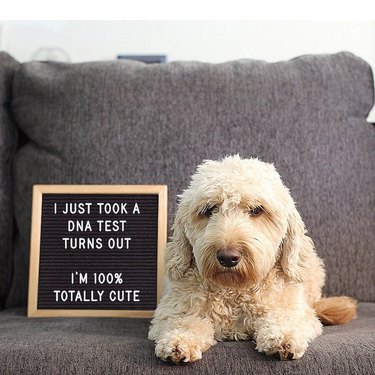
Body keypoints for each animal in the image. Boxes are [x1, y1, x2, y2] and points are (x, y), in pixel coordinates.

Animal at [148, 154, 356, 362]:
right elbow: (184, 322)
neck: (234, 291)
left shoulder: (295, 311)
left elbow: (283, 318)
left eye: (257, 210)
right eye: (209, 210)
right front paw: (179, 340)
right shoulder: (172, 310)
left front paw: (283, 338)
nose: (228, 257)